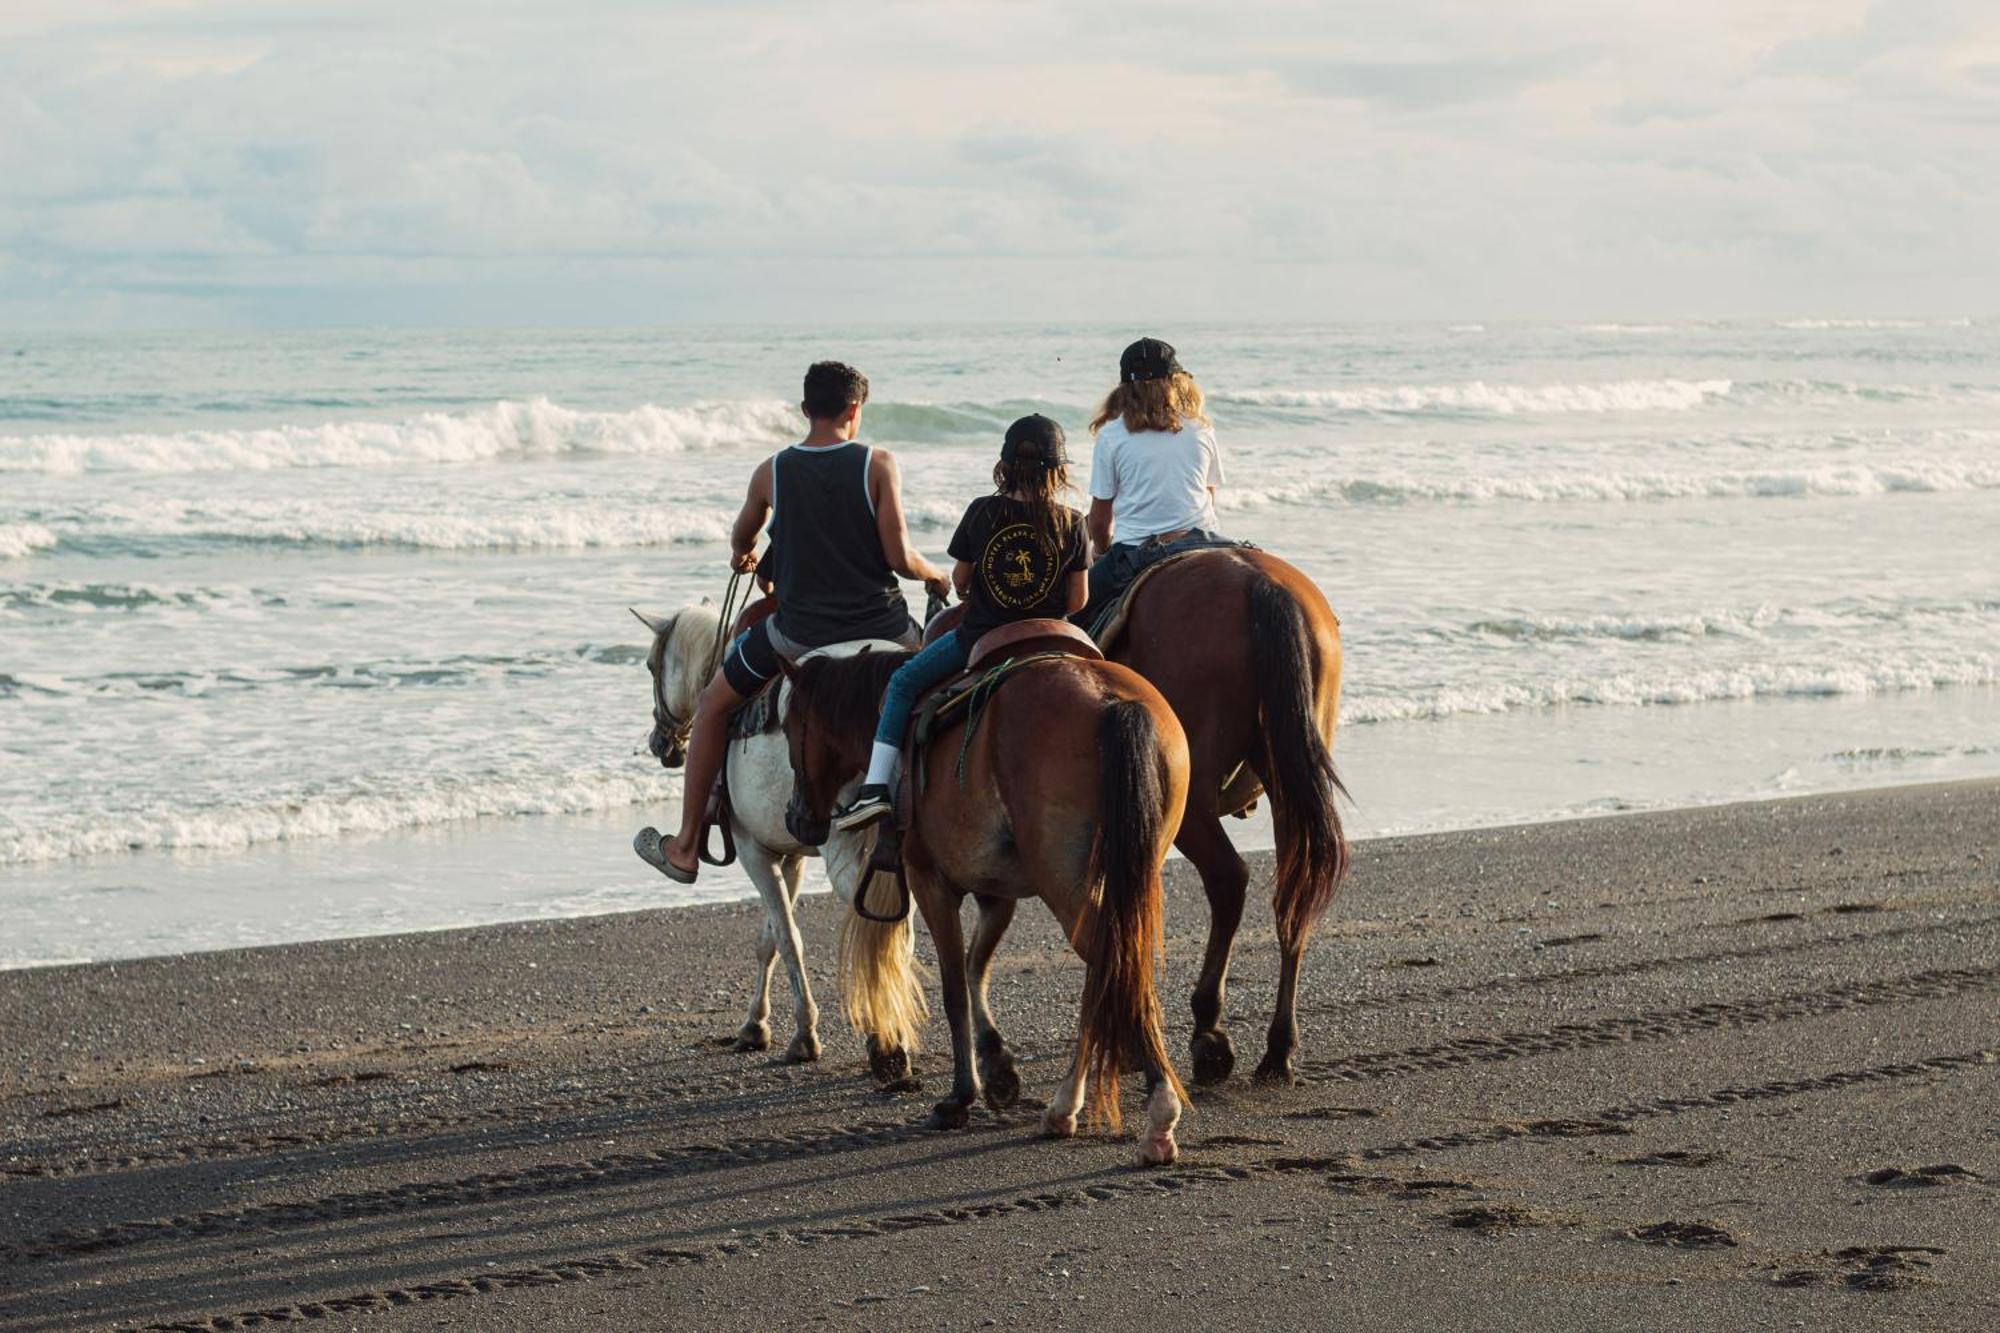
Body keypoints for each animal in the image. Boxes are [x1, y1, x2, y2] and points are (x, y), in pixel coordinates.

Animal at [628, 600, 924, 1072]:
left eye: (651, 665)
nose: (662, 744)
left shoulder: (753, 850)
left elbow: (787, 938)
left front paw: (803, 1034)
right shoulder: (791, 854)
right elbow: (768, 940)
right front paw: (755, 1025)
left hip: (846, 848)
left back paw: (886, 1043)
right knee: (903, 932)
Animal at [776, 648, 1184, 1160]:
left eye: (789, 726)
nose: (796, 819)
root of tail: (1108, 699)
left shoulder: (931, 883)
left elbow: (955, 986)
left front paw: (960, 1096)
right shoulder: (997, 893)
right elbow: (977, 968)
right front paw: (998, 1066)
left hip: (1062, 880)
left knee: (1110, 961)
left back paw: (1157, 1109)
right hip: (1122, 871)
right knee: (1110, 966)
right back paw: (1069, 1105)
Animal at [1104, 544, 1352, 1088]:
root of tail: (1259, 584)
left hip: (1191, 798)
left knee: (1228, 879)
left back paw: (1208, 1033)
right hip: (1289, 776)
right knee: (1292, 894)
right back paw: (1278, 1049)